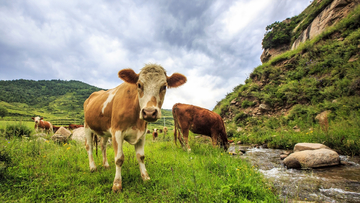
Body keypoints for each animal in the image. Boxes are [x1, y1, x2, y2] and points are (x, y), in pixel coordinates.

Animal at [83, 63, 187, 192]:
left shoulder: (142, 133)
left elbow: (140, 157)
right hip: (87, 126)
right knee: (89, 146)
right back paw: (93, 167)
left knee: (103, 146)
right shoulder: (117, 131)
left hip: (105, 131)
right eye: (139, 84)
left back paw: (106, 165)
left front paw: (145, 177)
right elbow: (119, 159)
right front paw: (117, 184)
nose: (149, 112)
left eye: (164, 86)